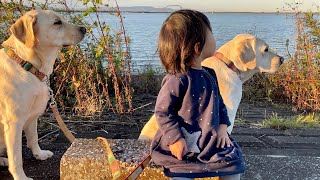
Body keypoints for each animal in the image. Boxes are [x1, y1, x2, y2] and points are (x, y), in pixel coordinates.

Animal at [0, 10, 85, 180]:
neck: (27, 65)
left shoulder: (32, 115)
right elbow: (16, 157)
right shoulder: (14, 123)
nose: (84, 29)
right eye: (57, 22)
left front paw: (39, 154)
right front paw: (20, 177)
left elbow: (34, 138)